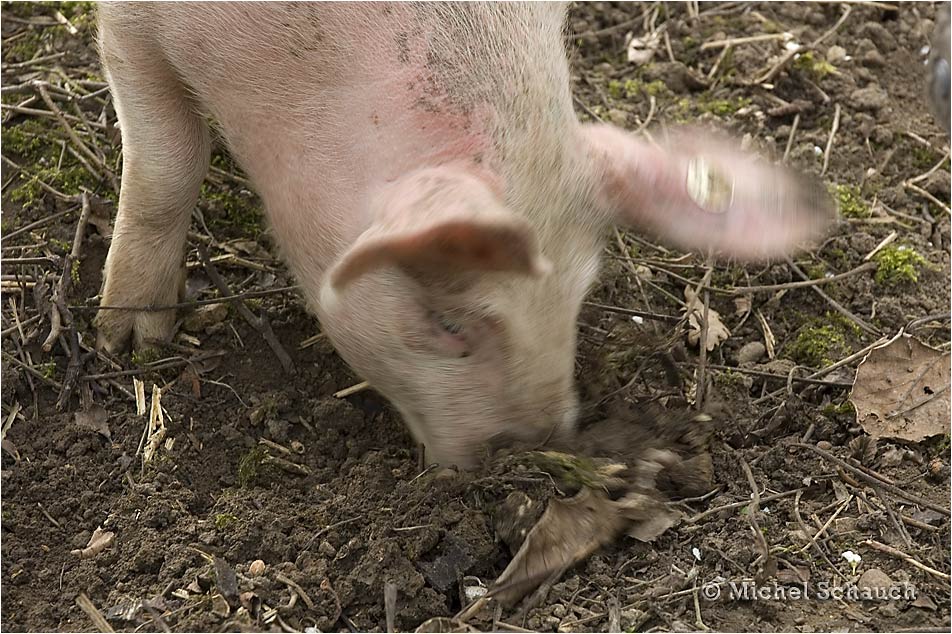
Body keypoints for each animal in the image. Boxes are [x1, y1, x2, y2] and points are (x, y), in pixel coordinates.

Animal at [93, 2, 828, 466]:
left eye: (577, 301)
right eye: (448, 321)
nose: (531, 448)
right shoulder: (129, 27)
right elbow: (169, 167)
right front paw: (132, 341)